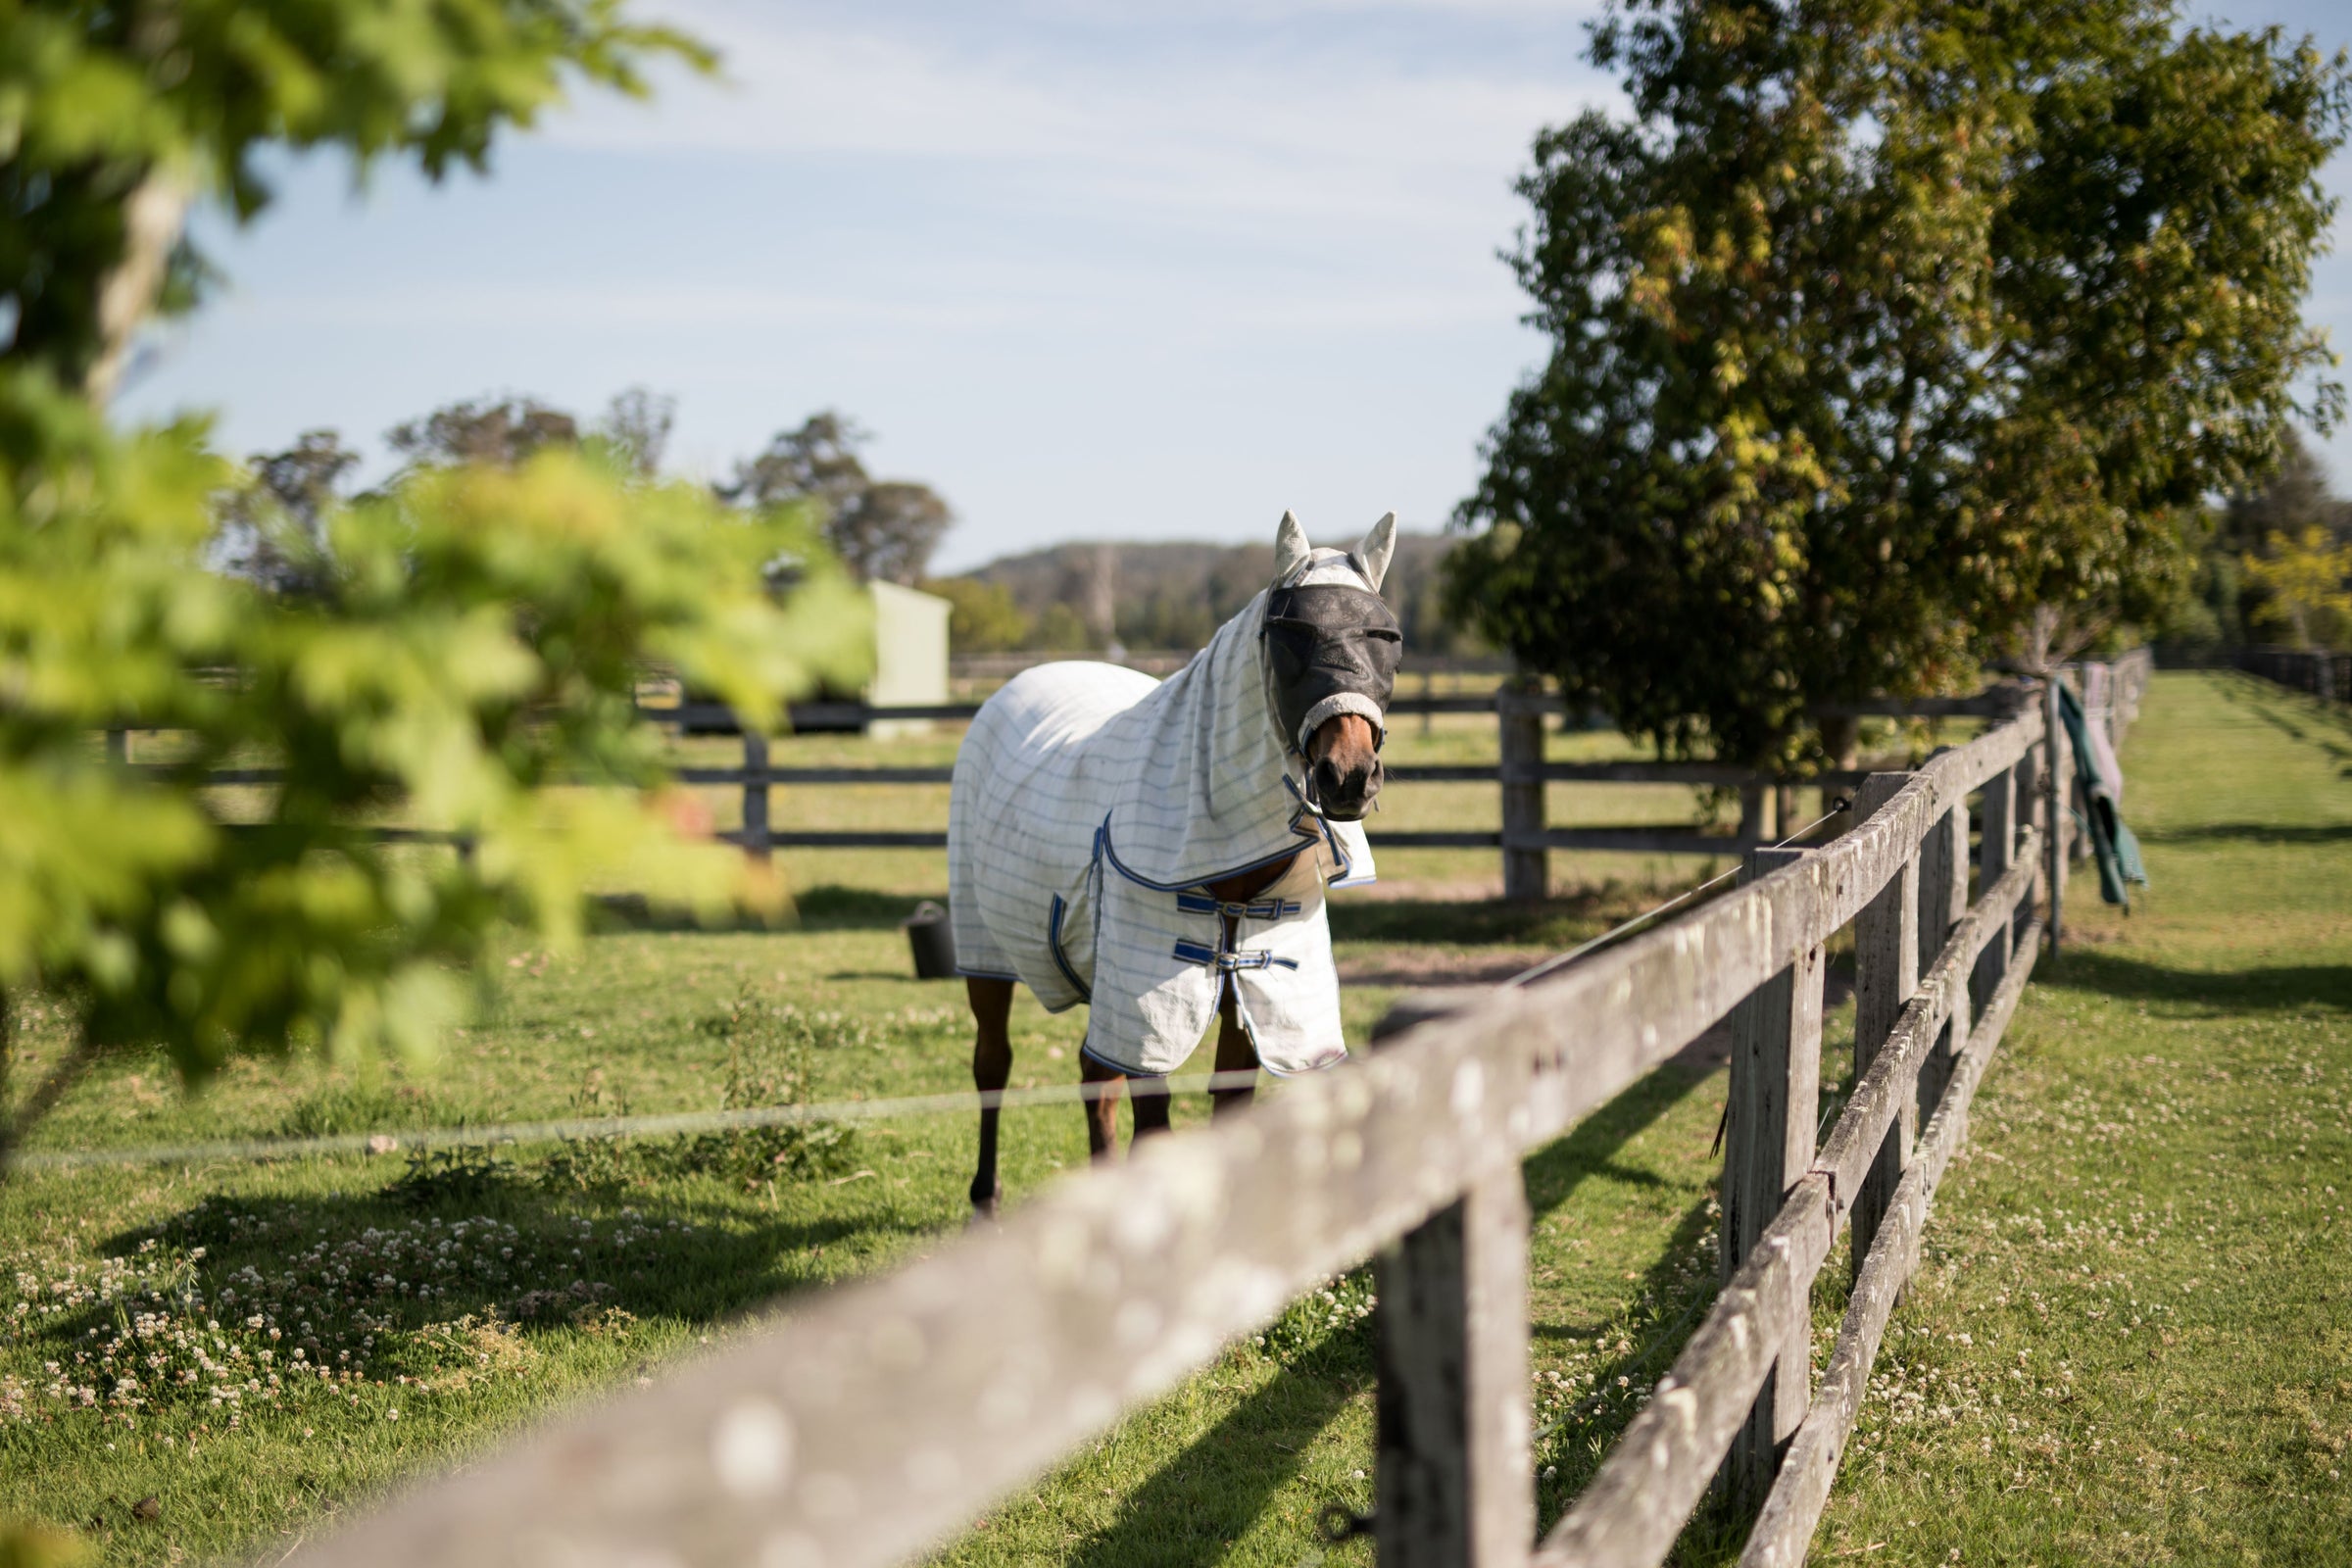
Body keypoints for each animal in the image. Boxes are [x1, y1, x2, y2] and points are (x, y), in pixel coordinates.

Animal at [950, 510, 1401, 1222]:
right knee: (992, 1066)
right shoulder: (1149, 1005)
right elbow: (1154, 1125)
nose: (1349, 775)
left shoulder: (1251, 991)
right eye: (1291, 635)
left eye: (1386, 636)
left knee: (1093, 1079)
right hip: (986, 959)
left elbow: (1227, 1111)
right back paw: (985, 1200)